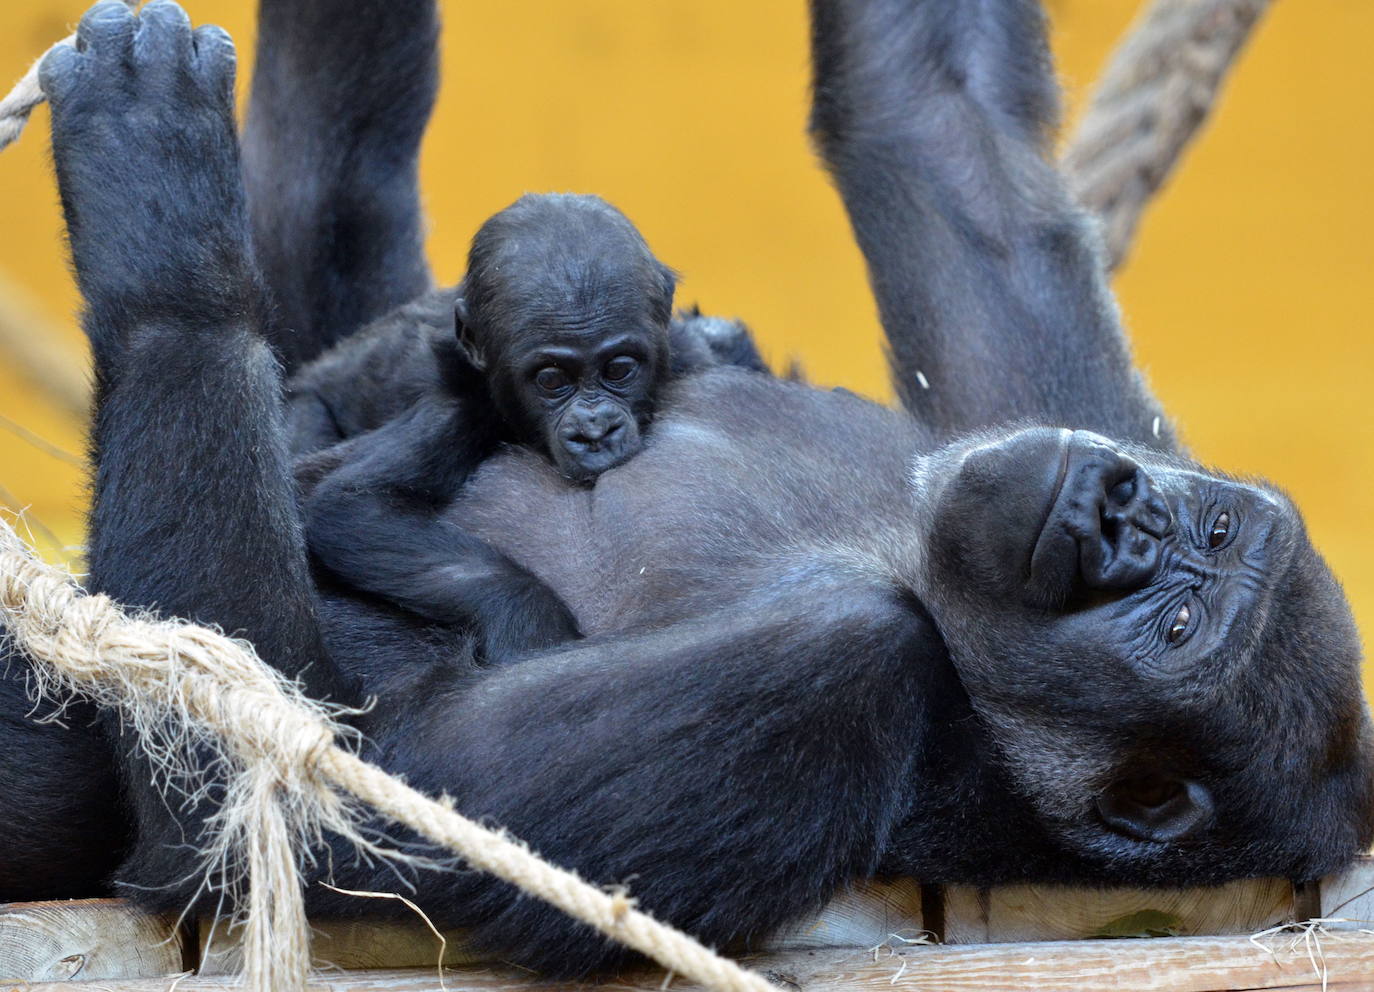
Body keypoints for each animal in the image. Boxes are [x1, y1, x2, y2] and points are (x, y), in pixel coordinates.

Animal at [302, 192, 769, 656]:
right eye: (551, 380)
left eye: (619, 369)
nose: (594, 431)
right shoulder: (458, 409)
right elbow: (356, 504)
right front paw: (528, 619)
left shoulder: (689, 355)